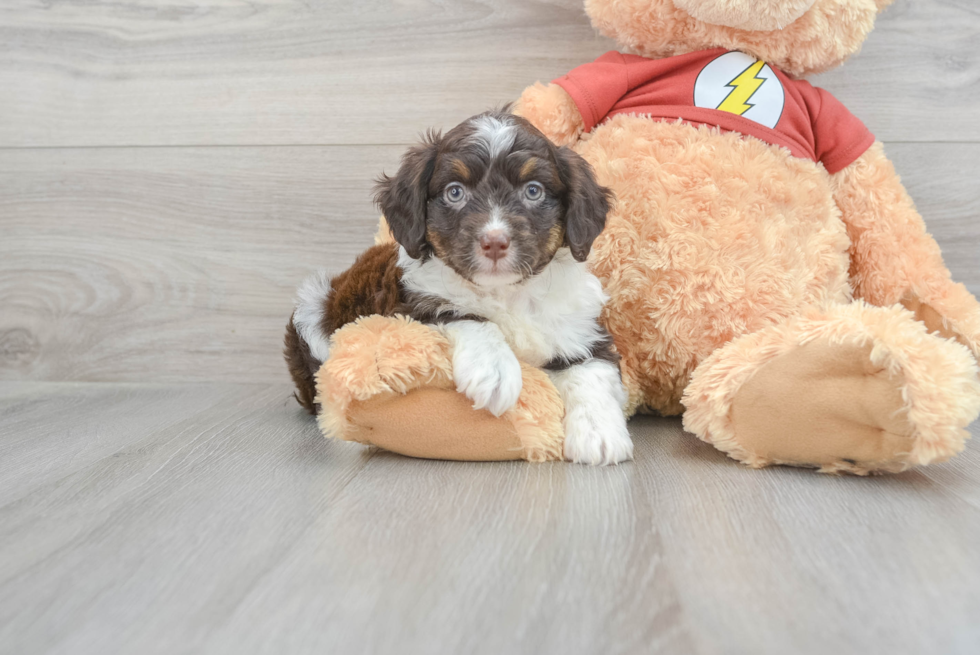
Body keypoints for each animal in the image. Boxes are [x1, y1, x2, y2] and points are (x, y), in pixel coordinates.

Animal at [284, 110, 636, 464]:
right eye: (455, 192)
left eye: (533, 191)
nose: (494, 242)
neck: (506, 292)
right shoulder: (406, 308)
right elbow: (464, 315)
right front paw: (494, 371)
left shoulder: (583, 328)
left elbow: (592, 369)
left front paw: (600, 434)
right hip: (312, 307)